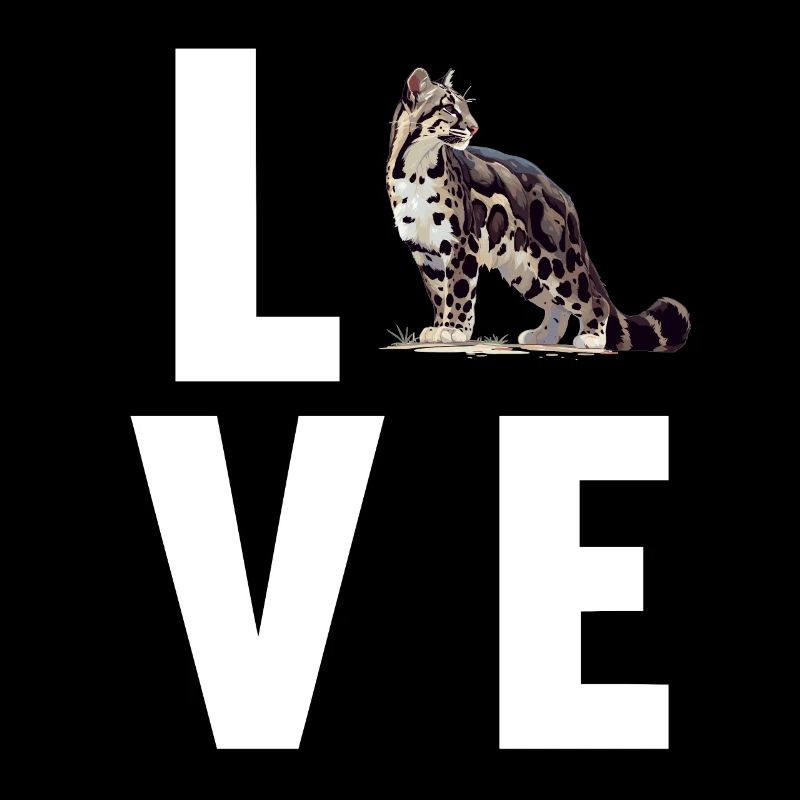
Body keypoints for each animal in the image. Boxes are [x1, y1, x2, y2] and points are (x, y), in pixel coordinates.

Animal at [386, 67, 690, 351]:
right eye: (449, 108)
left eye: (467, 107)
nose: (474, 128)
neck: (415, 170)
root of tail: (562, 193)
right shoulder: (425, 251)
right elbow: (439, 294)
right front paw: (439, 327)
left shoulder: (461, 244)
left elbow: (458, 290)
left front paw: (453, 330)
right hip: (526, 269)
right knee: (557, 305)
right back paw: (543, 336)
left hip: (556, 261)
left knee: (592, 298)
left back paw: (591, 338)